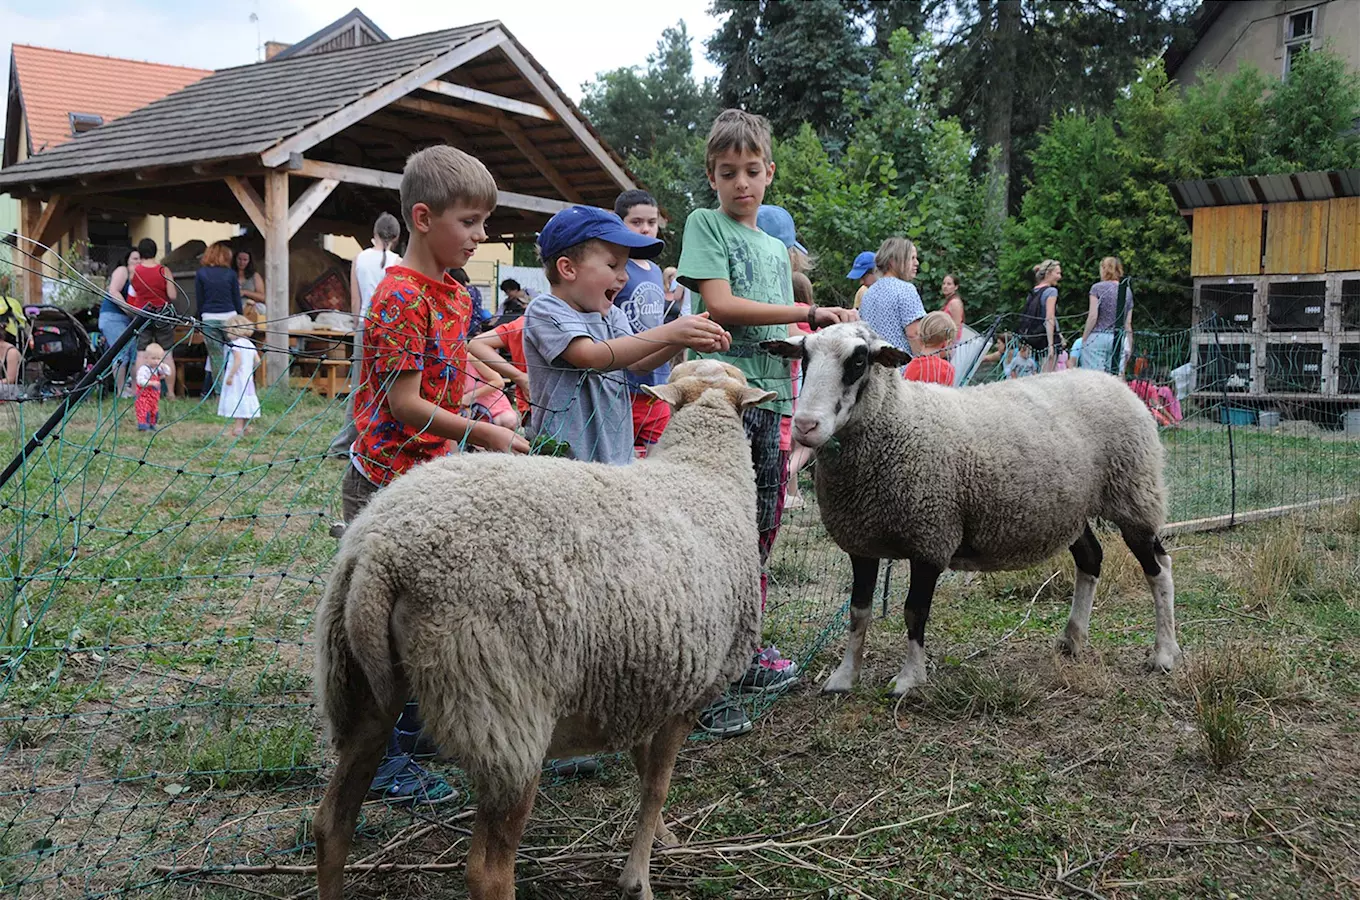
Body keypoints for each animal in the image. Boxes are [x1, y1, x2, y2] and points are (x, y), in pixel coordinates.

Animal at [311, 361, 777, 900]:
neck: (702, 472)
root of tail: (379, 551)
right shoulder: (694, 690)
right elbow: (658, 783)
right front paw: (637, 877)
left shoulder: (651, 682)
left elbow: (645, 773)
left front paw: (662, 837)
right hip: (506, 712)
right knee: (487, 871)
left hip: (357, 684)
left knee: (332, 822)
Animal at [767, 324, 1180, 696]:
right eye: (805, 358)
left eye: (858, 361)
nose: (805, 425)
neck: (898, 419)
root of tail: (1111, 379)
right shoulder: (861, 542)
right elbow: (858, 612)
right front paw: (844, 677)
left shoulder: (931, 537)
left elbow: (914, 611)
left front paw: (908, 680)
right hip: (1071, 509)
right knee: (1091, 559)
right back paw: (1072, 639)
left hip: (1135, 492)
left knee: (1158, 568)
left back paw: (1164, 654)